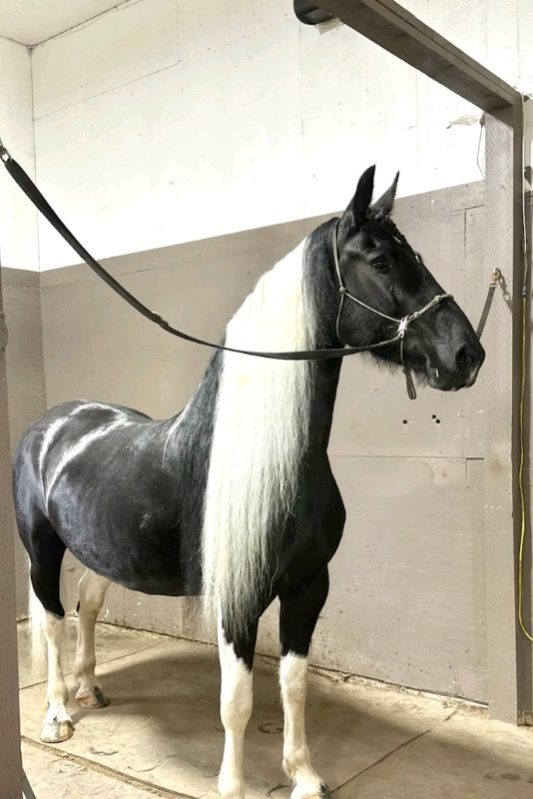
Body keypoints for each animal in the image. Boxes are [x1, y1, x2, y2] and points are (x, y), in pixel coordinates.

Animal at [13, 166, 484, 799]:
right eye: (381, 261)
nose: (467, 354)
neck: (281, 461)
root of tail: (52, 424)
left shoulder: (309, 585)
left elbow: (292, 685)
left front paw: (304, 775)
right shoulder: (238, 599)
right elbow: (236, 701)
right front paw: (232, 786)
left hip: (100, 550)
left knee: (87, 603)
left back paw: (90, 689)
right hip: (43, 548)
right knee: (53, 620)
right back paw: (58, 714)